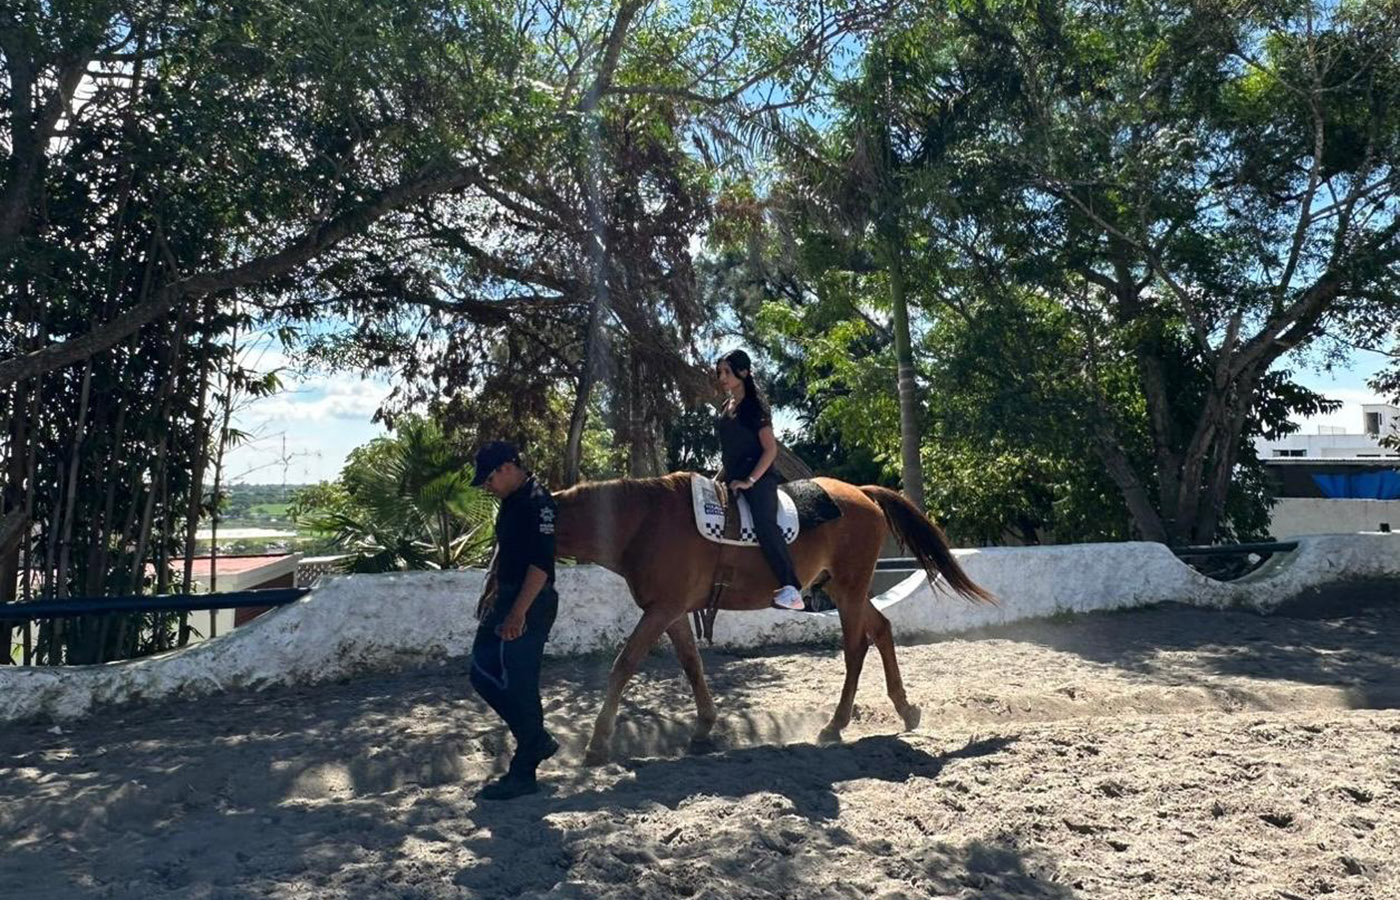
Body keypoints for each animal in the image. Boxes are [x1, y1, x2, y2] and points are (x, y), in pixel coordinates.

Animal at [548, 473, 996, 767]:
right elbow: (692, 665)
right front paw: (703, 728)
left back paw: (835, 726)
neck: (645, 521)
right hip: (843, 590)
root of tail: (862, 493)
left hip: (849, 591)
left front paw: (597, 744)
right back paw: (905, 709)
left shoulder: (661, 610)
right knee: (882, 629)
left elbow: (623, 665)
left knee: (856, 648)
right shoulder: (670, 611)